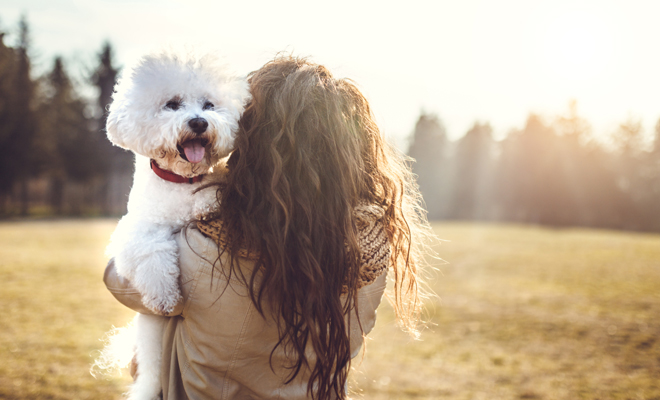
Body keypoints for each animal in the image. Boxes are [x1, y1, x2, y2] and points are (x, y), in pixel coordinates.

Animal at [104, 50, 249, 400]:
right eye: (172, 104)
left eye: (209, 105)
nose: (198, 122)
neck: (181, 180)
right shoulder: (133, 232)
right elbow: (152, 251)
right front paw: (163, 297)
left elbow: (213, 189)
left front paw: (207, 201)